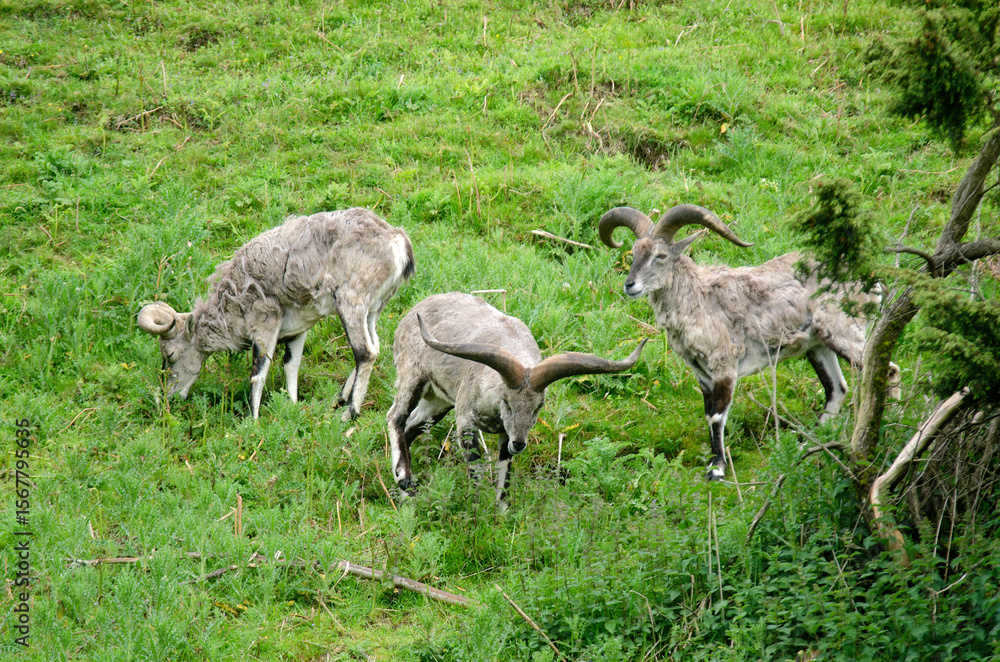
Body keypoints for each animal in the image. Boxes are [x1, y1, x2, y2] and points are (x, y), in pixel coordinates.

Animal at [138, 207, 414, 421]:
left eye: (170, 354)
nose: (169, 396)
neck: (236, 295)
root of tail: (398, 243)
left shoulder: (265, 325)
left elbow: (258, 374)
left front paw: (252, 420)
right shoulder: (298, 331)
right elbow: (291, 366)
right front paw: (291, 405)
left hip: (351, 302)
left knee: (365, 352)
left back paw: (349, 413)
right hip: (373, 310)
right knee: (375, 346)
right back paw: (341, 398)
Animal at [387, 292, 646, 507]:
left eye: (538, 407)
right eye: (507, 401)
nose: (520, 444)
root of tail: (413, 312)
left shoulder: (506, 433)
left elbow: (505, 470)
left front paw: (501, 513)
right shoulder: (466, 421)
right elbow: (476, 467)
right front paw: (476, 511)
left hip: (439, 400)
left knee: (412, 426)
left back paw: (406, 491)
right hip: (413, 375)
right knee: (395, 417)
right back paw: (404, 480)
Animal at [599, 204, 900, 481]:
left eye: (660, 256)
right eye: (634, 253)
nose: (630, 285)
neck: (700, 301)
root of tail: (871, 278)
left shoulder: (725, 367)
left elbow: (717, 416)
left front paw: (717, 469)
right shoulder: (702, 376)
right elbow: (708, 414)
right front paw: (713, 462)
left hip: (845, 333)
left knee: (887, 370)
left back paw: (895, 424)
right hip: (817, 345)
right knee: (837, 388)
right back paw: (808, 443)